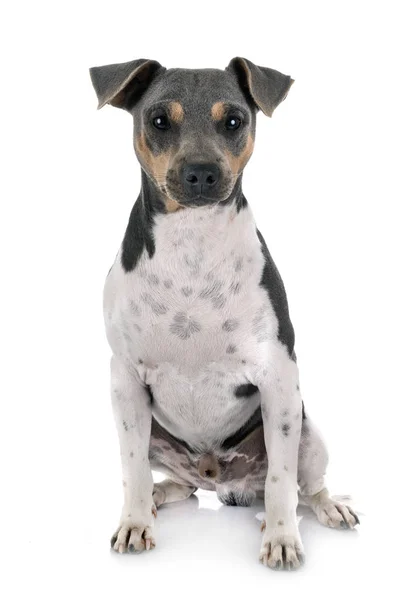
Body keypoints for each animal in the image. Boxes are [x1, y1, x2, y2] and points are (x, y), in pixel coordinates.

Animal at [90, 58, 360, 568]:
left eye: (233, 120)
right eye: (159, 120)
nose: (201, 173)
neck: (193, 244)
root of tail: (222, 480)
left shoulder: (279, 378)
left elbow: (280, 479)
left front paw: (282, 537)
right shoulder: (126, 383)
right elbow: (132, 470)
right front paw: (135, 523)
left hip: (308, 433)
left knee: (304, 487)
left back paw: (325, 508)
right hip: (155, 434)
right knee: (181, 485)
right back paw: (160, 497)